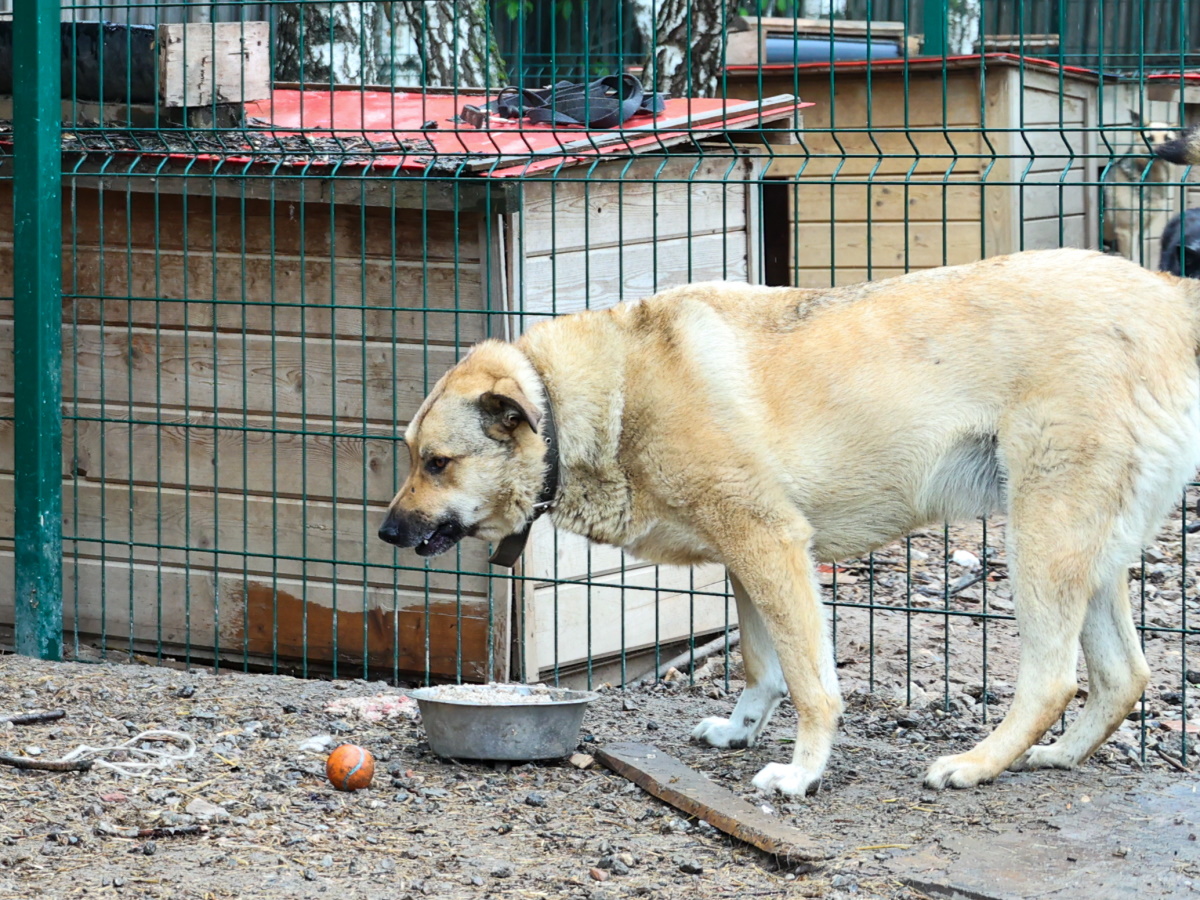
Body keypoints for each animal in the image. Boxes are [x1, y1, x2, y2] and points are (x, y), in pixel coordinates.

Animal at [379, 248, 1200, 796]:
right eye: (412, 457)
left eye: (439, 463)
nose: (386, 533)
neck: (586, 401)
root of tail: (1168, 294)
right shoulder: (747, 557)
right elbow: (761, 665)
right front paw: (739, 731)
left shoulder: (771, 544)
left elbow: (812, 683)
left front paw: (801, 774)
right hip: (1091, 550)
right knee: (1124, 674)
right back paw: (1059, 757)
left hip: (1041, 539)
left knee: (1053, 678)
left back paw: (975, 763)